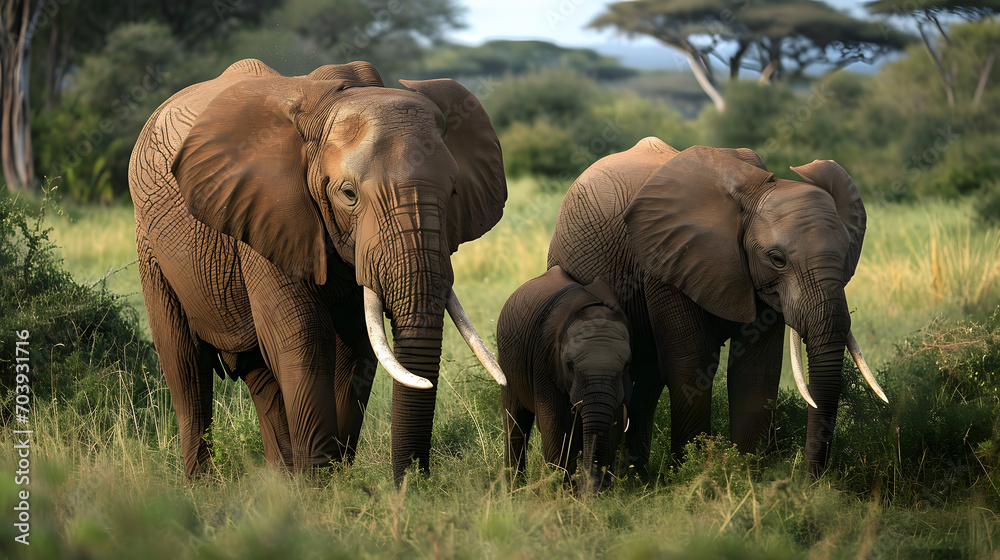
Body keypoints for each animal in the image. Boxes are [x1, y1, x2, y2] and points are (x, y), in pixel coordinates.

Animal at [129, 58, 508, 481]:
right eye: (348, 194)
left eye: (454, 192)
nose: (412, 483)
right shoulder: (269, 215)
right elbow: (302, 334)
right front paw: (319, 484)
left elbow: (356, 344)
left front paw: (330, 479)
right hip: (151, 245)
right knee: (185, 366)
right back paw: (204, 485)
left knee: (258, 371)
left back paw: (280, 479)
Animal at [497, 266, 631, 491]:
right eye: (570, 366)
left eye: (626, 366)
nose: (589, 488)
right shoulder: (544, 359)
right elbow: (555, 425)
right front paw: (565, 490)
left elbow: (615, 421)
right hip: (507, 363)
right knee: (515, 421)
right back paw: (514, 486)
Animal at [547, 139, 886, 477]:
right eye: (777, 259)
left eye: (847, 253)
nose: (809, 477)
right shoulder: (666, 262)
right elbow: (691, 362)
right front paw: (692, 472)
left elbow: (757, 368)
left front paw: (746, 473)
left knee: (647, 377)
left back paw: (634, 476)